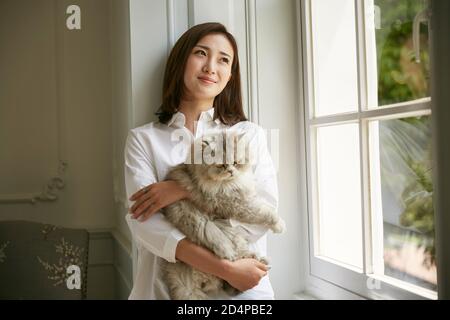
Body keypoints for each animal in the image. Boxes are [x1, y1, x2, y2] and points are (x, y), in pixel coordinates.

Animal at [161, 131, 284, 300]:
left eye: (235, 162)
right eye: (221, 165)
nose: (231, 171)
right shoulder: (235, 203)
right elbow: (263, 211)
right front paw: (279, 225)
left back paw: (260, 259)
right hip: (201, 221)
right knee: (224, 247)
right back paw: (233, 255)